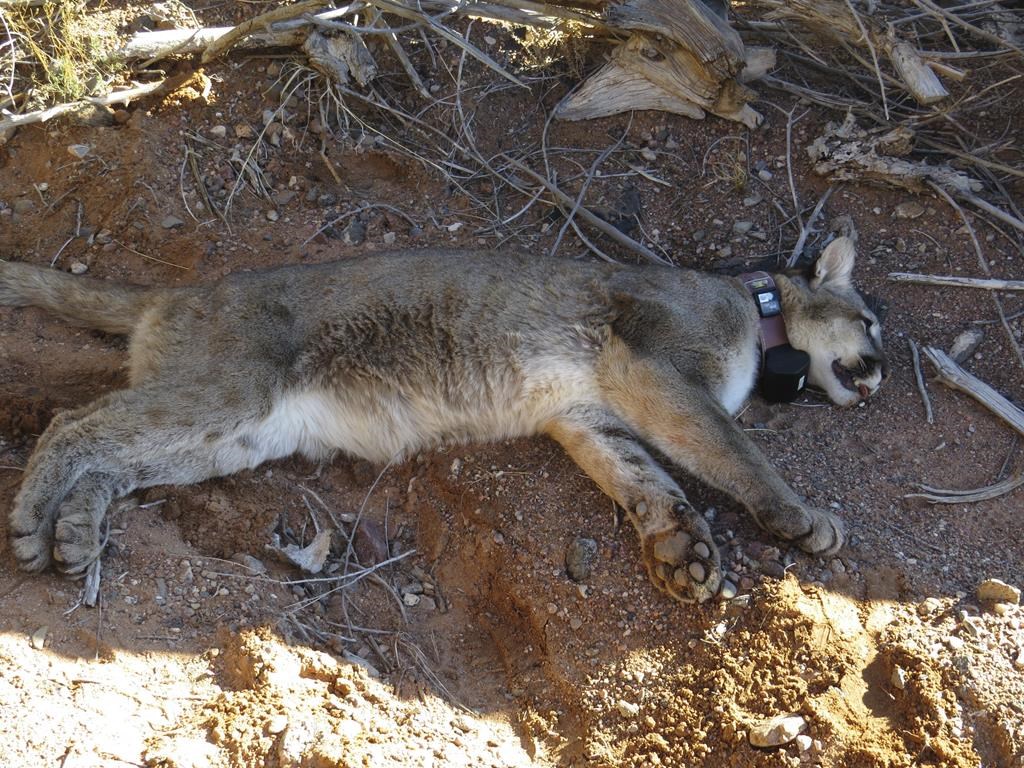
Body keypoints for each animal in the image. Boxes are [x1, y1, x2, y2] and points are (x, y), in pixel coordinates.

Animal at [0, 237, 884, 606]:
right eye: (872, 323)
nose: (877, 372)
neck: (754, 306)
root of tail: (171, 294)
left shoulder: (588, 416)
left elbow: (645, 481)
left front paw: (683, 552)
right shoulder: (656, 365)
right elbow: (730, 451)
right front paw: (801, 518)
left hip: (235, 436)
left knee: (115, 458)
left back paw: (74, 534)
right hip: (230, 392)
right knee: (76, 421)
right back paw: (33, 525)